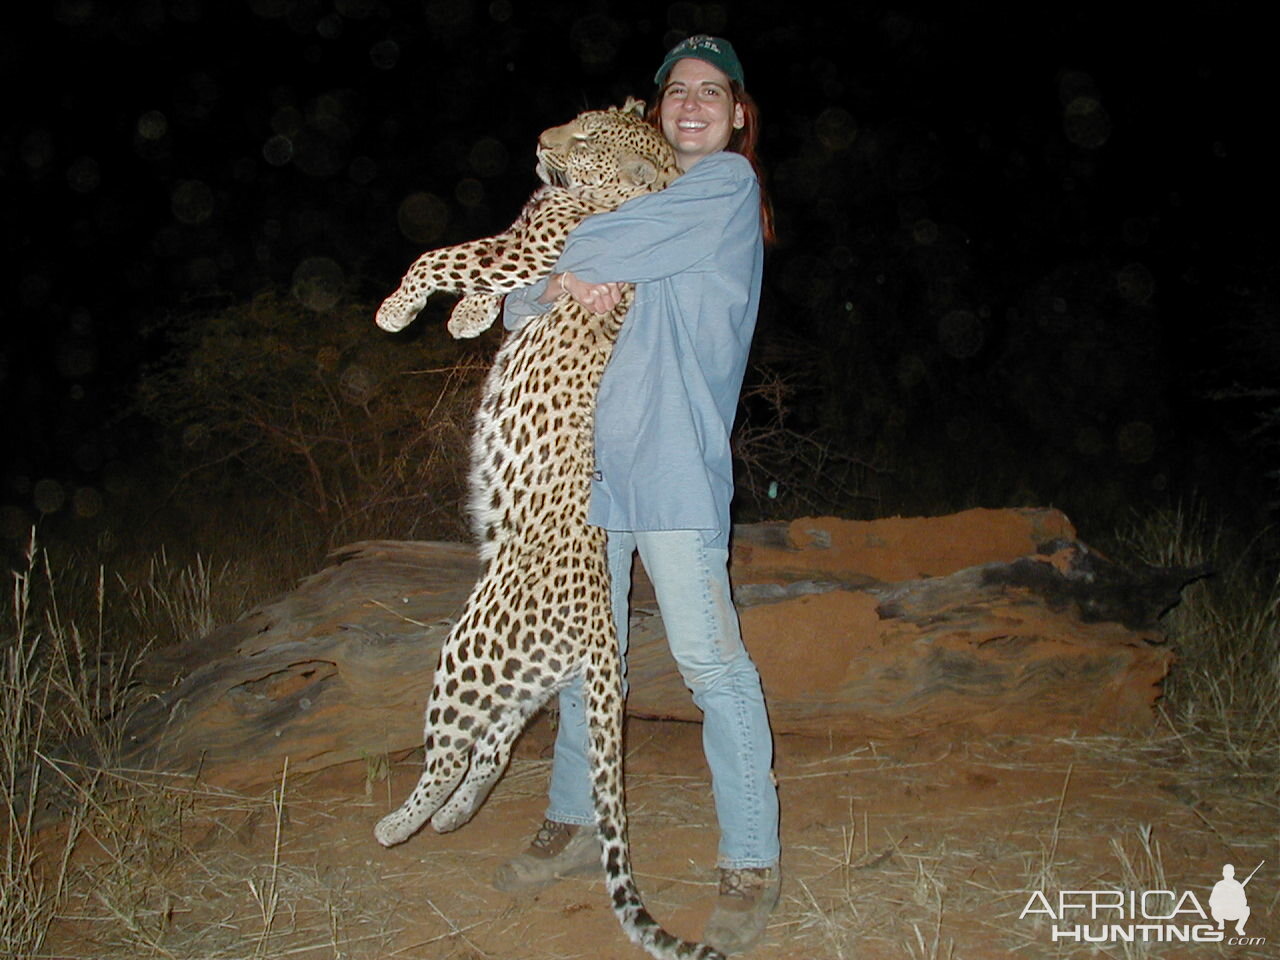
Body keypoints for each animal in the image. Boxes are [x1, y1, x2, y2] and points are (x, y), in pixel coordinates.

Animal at [373, 99, 727, 960]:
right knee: (492, 747)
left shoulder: (531, 246)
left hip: (472, 647)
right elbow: (475, 274)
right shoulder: (520, 249)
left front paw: (400, 309)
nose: (540, 141)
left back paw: (400, 824)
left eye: (588, 139)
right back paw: (450, 819)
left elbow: (441, 253)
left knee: (451, 748)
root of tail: (602, 622)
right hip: (518, 673)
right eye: (578, 118)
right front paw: (468, 319)